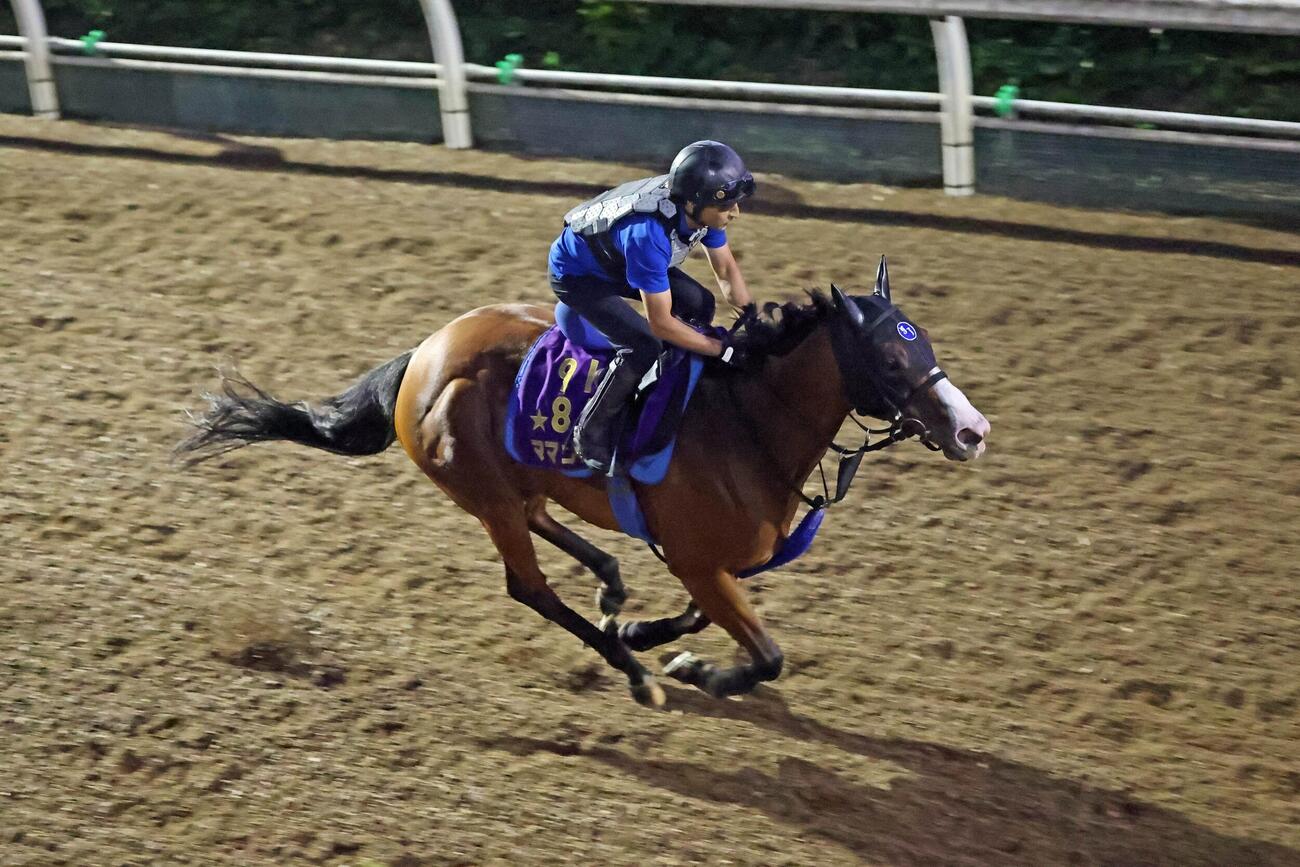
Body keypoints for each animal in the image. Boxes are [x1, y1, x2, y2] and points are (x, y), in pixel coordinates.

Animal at [178, 260, 989, 707]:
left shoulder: (712, 560)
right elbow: (766, 656)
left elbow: (701, 616)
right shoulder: (699, 559)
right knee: (528, 585)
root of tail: (422, 356)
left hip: (517, 485)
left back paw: (611, 586)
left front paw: (651, 633)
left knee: (548, 521)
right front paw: (691, 669)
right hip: (483, 494)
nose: (972, 430)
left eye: (925, 342)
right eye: (891, 360)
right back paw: (632, 671)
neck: (747, 421)